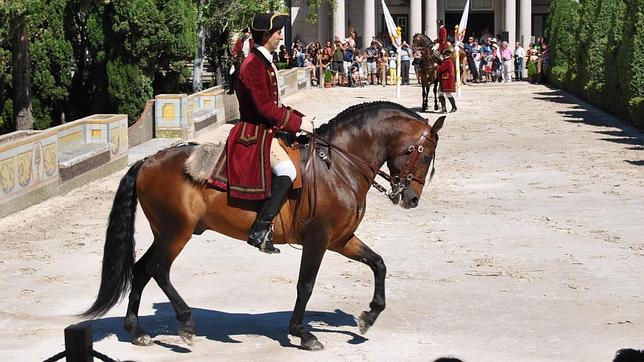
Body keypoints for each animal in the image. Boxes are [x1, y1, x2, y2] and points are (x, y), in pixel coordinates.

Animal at [83, 101, 446, 350]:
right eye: (426, 155)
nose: (411, 199)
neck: (338, 164)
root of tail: (147, 161)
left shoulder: (341, 238)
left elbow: (378, 264)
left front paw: (370, 315)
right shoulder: (319, 240)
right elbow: (305, 285)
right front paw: (302, 333)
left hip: (166, 233)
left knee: (142, 270)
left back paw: (137, 331)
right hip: (176, 233)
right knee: (158, 269)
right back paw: (184, 322)